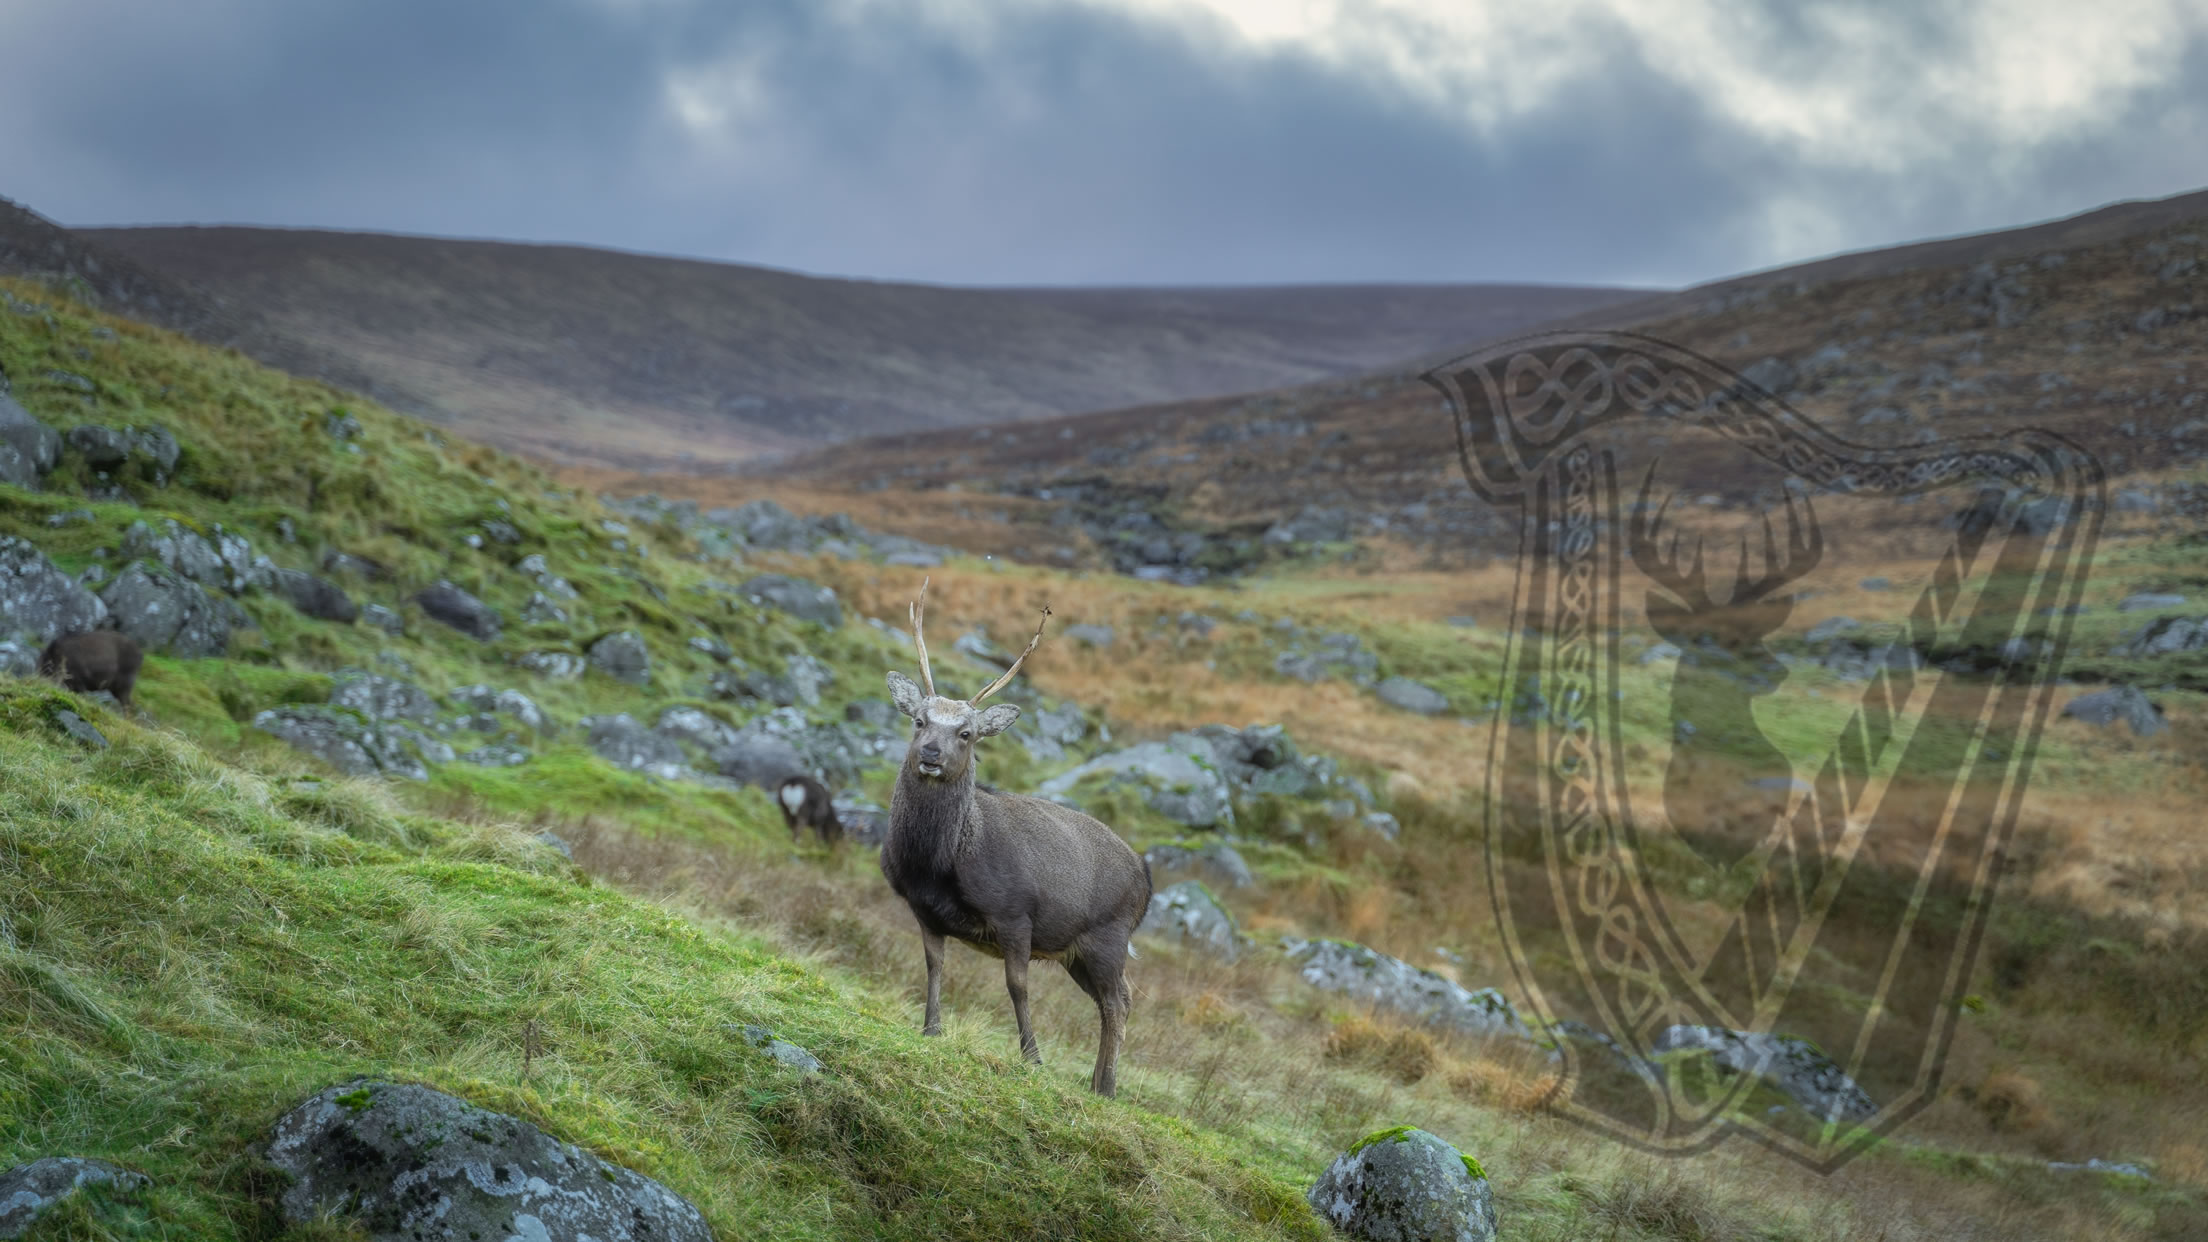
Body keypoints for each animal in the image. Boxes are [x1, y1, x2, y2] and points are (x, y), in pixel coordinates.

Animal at [878, 579, 1156, 1091]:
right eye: (919, 720)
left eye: (966, 733)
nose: (930, 754)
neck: (936, 866)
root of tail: (1147, 881)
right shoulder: (923, 909)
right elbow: (934, 964)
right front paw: (931, 1028)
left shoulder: (1015, 913)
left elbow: (1017, 986)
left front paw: (1032, 1057)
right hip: (1078, 953)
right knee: (1113, 1000)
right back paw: (1095, 1081)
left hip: (1109, 935)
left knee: (1119, 1001)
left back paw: (1107, 1087)